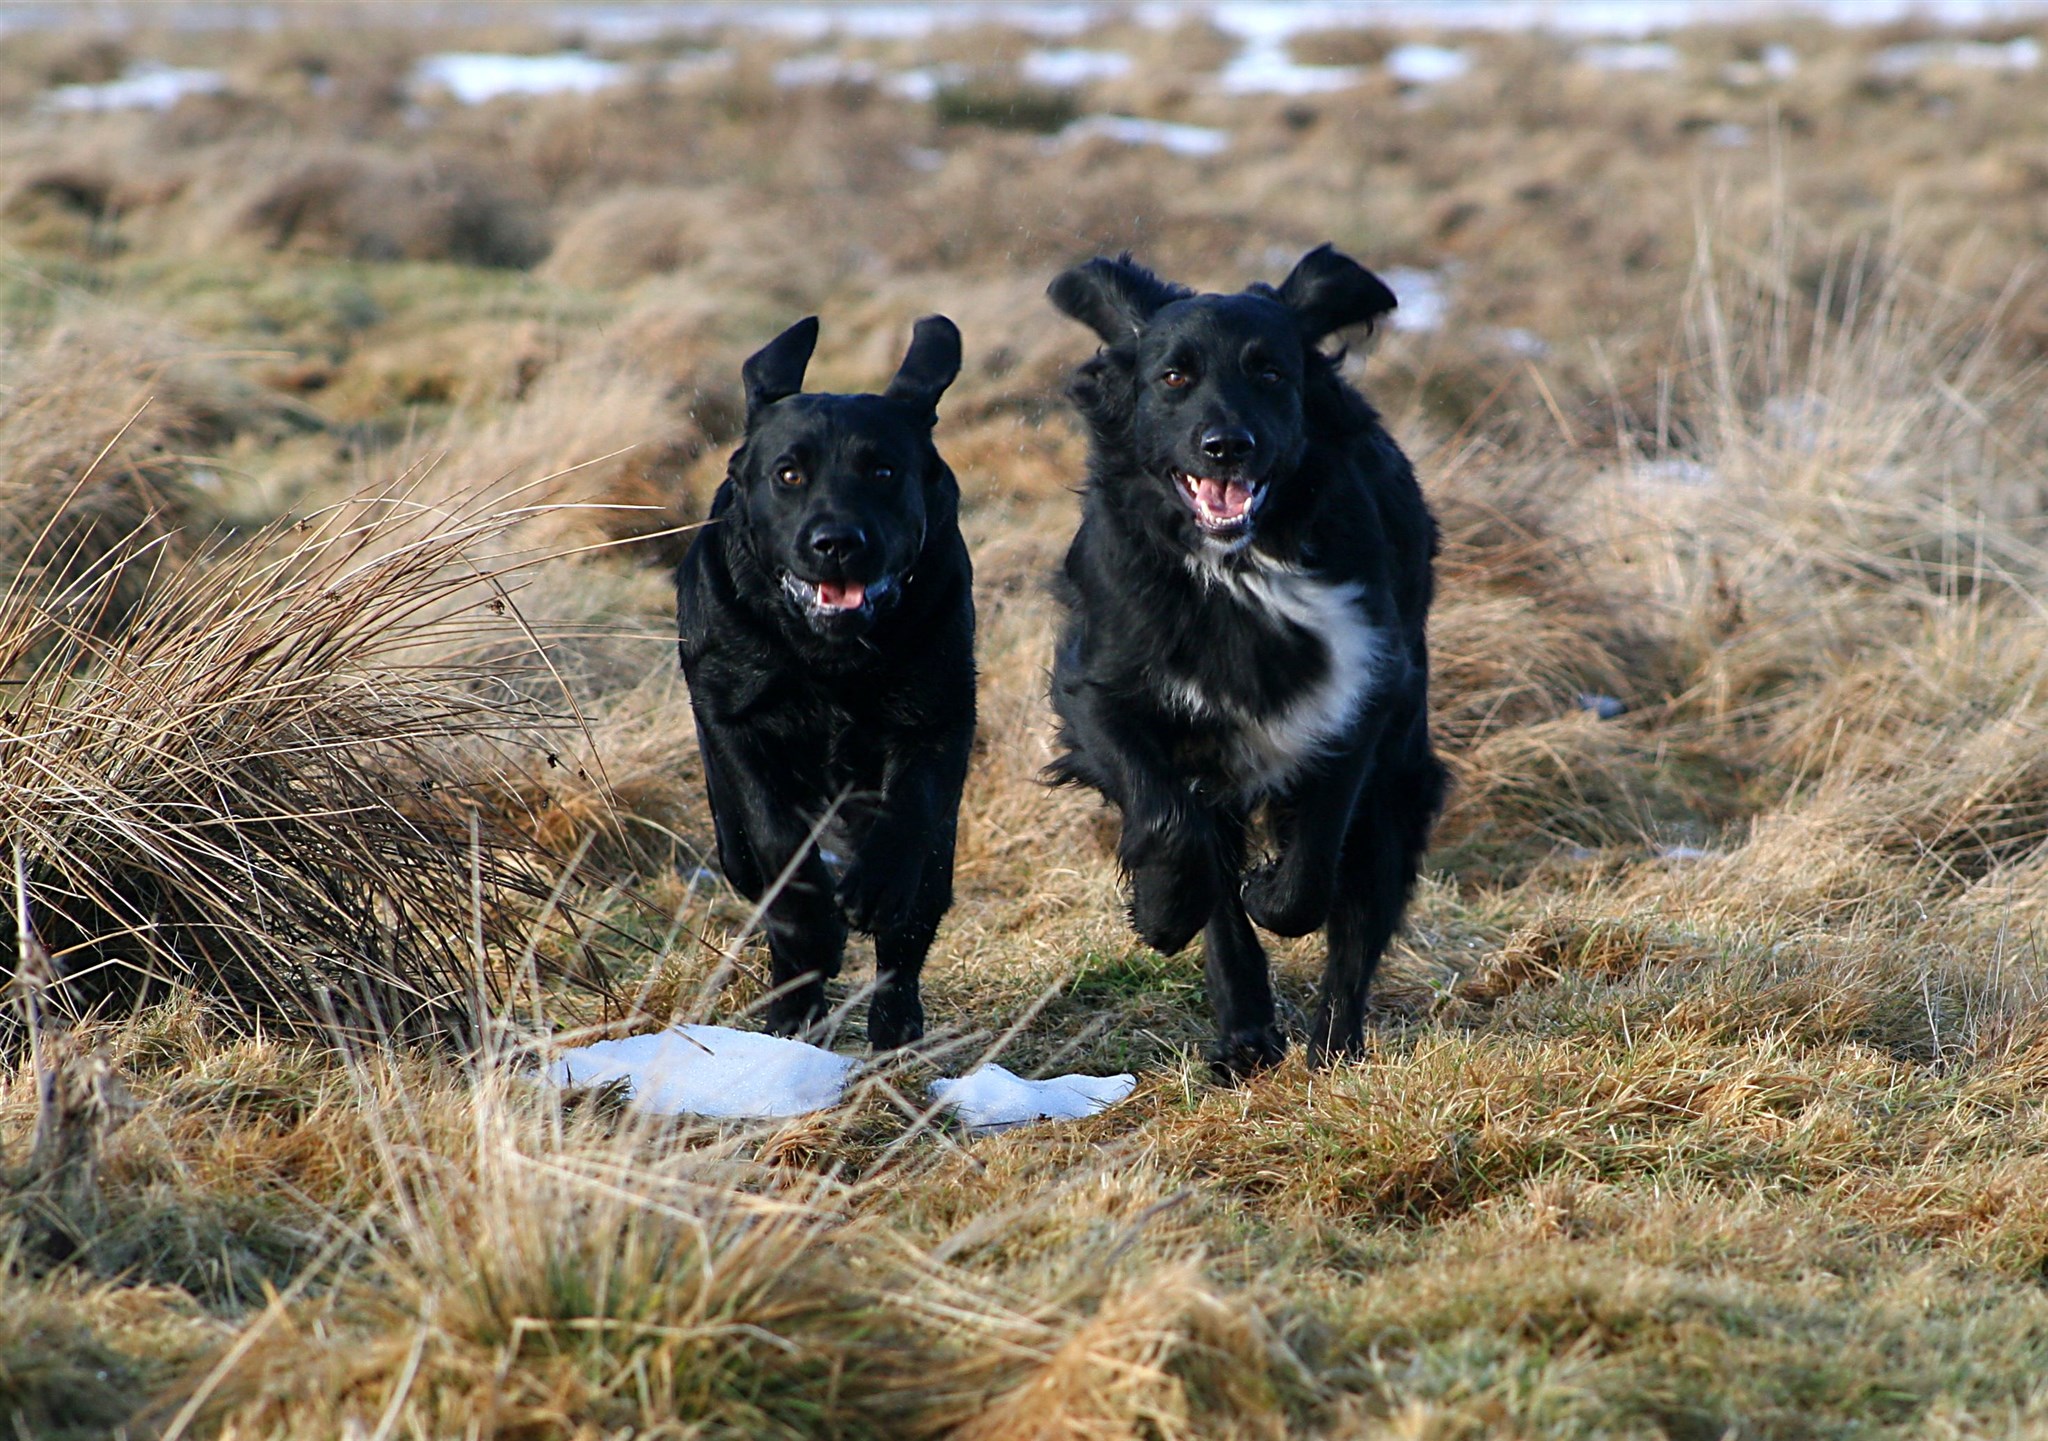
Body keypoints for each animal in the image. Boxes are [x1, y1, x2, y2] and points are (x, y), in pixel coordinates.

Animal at [675, 315, 970, 1048]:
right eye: (789, 474)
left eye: (883, 470)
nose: (836, 541)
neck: (829, 658)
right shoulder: (734, 722)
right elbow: (776, 834)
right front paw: (812, 932)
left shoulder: (939, 715)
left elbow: (911, 807)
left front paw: (877, 883)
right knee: (749, 863)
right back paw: (791, 1010)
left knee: (915, 922)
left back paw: (894, 1022)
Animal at [1048, 247, 1449, 1072]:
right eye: (1174, 376)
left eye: (1269, 371)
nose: (1225, 444)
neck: (1238, 565)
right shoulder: (1098, 688)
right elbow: (1170, 823)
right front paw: (1162, 910)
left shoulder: (1362, 692)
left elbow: (1311, 866)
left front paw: (1271, 892)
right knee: (1214, 880)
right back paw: (1245, 1036)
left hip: (1400, 776)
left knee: (1355, 915)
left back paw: (1332, 1049)